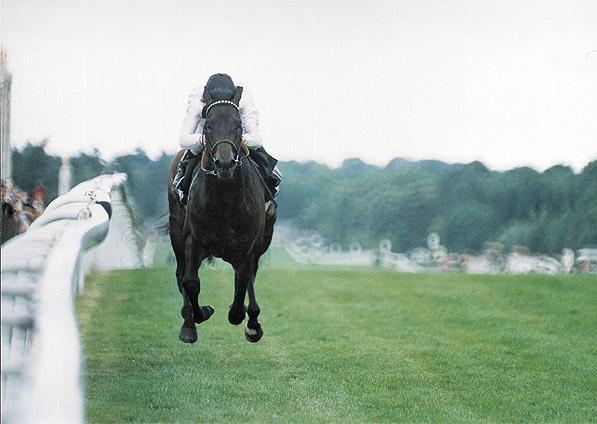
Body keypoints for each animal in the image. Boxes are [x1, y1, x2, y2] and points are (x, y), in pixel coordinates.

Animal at [168, 86, 278, 344]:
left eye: (239, 125)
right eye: (208, 125)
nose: (224, 163)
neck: (224, 199)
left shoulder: (248, 245)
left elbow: (242, 282)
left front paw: (244, 318)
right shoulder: (194, 239)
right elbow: (190, 281)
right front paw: (197, 317)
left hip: (263, 239)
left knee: (250, 275)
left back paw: (252, 320)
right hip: (175, 229)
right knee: (181, 273)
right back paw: (188, 318)